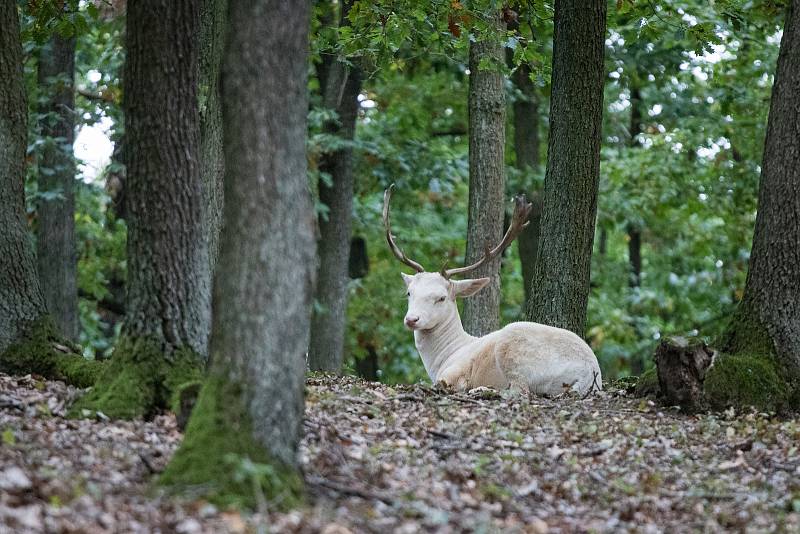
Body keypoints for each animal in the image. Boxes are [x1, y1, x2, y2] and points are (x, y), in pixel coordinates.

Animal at [382, 185, 600, 398]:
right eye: (409, 292)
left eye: (441, 297)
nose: (412, 319)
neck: (445, 356)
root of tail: (590, 376)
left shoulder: (454, 372)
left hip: (513, 346)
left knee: (520, 391)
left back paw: (481, 390)